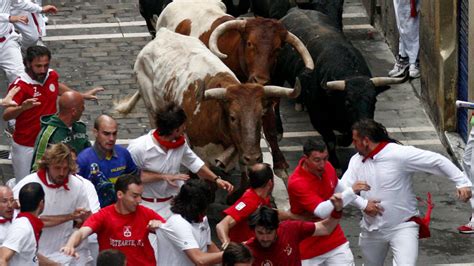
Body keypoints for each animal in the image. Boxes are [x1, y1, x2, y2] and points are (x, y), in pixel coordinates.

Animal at [274, 8, 404, 169]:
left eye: (374, 101)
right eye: (348, 103)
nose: (366, 127)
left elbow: (348, 135)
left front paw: (343, 140)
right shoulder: (318, 117)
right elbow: (330, 140)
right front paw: (335, 163)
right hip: (276, 73)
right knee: (275, 101)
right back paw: (278, 131)